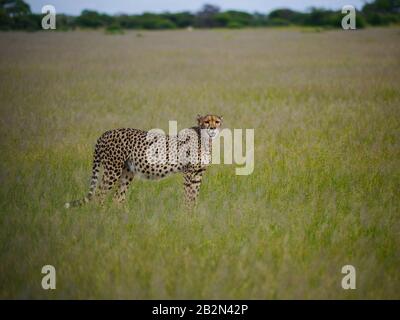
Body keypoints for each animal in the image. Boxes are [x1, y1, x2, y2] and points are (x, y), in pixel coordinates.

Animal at [64, 115, 223, 210]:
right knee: (100, 194)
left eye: (217, 121)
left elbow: (194, 195)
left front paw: (192, 213)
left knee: (117, 197)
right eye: (207, 121)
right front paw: (186, 213)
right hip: (113, 169)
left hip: (127, 172)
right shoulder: (189, 172)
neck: (205, 139)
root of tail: (105, 133)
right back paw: (102, 215)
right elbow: (189, 194)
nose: (213, 128)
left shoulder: (198, 174)